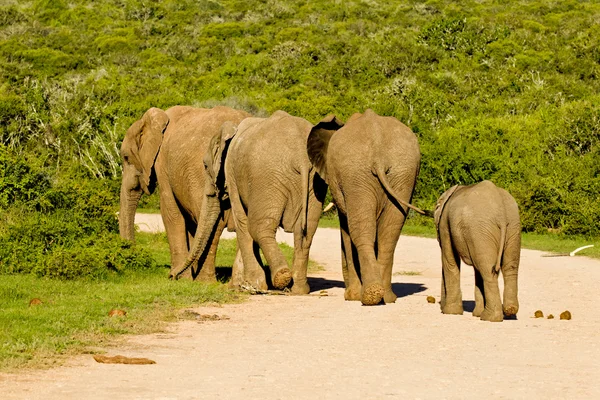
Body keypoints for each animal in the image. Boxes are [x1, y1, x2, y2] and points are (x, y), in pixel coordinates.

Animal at [118, 107, 250, 282]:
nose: (131, 251)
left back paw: (205, 282)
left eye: (126, 158)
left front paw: (181, 278)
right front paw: (187, 276)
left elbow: (170, 213)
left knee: (212, 222)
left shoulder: (162, 163)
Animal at [171, 110, 326, 294]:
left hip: (267, 177)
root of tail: (300, 157)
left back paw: (281, 277)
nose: (172, 276)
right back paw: (299, 290)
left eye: (205, 166)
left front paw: (253, 284)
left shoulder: (231, 171)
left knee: (259, 227)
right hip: (314, 183)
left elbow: (242, 222)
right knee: (306, 231)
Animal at [304, 109, 426, 306]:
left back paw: (367, 295)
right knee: (389, 233)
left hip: (356, 174)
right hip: (402, 173)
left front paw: (351, 296)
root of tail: (378, 155)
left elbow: (346, 230)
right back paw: (385, 296)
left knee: (359, 231)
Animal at [432, 180, 520, 322]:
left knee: (487, 271)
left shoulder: (445, 224)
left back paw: (489, 318)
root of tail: (501, 212)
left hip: (481, 230)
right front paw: (476, 313)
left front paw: (451, 312)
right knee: (508, 268)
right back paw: (509, 311)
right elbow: (477, 270)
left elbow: (450, 261)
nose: (441, 307)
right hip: (511, 226)